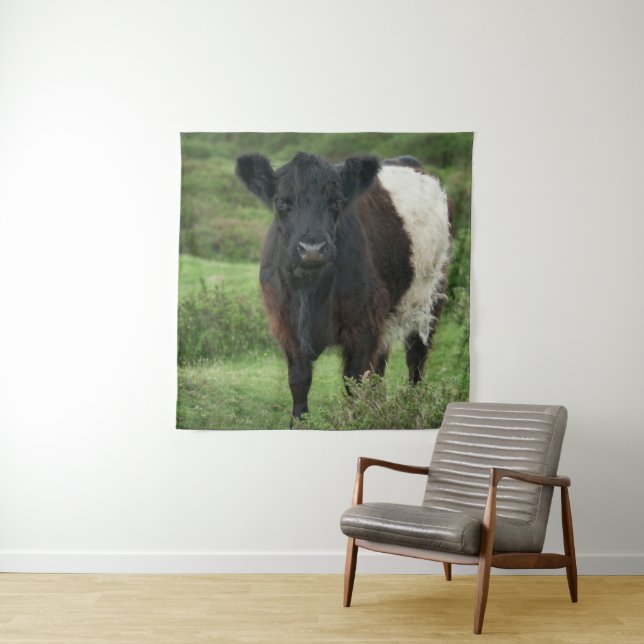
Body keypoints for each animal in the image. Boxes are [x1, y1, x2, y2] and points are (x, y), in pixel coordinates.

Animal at [235, 152, 450, 425]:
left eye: (336, 202)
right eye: (281, 203)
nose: (312, 249)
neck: (310, 290)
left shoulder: (364, 326)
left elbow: (355, 381)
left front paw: (358, 421)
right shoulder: (285, 324)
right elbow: (299, 379)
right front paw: (299, 424)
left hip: (430, 298)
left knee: (416, 357)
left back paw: (415, 408)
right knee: (381, 366)